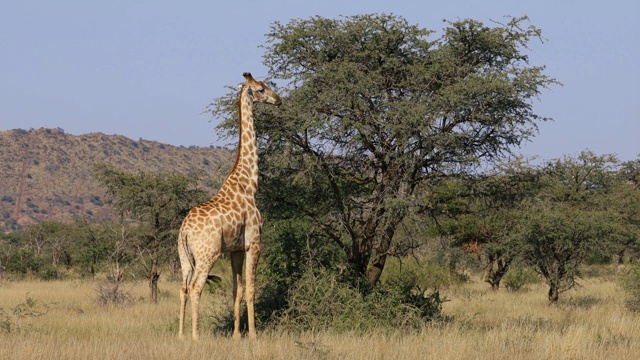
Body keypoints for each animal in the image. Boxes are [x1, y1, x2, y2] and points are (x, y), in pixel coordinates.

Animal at [179, 71, 282, 338]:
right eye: (261, 89)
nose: (278, 100)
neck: (249, 183)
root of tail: (184, 231)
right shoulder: (254, 243)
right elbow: (251, 289)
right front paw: (253, 335)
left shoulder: (235, 249)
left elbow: (237, 290)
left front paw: (236, 335)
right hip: (207, 254)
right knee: (196, 287)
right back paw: (195, 336)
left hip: (183, 257)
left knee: (183, 287)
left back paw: (181, 334)